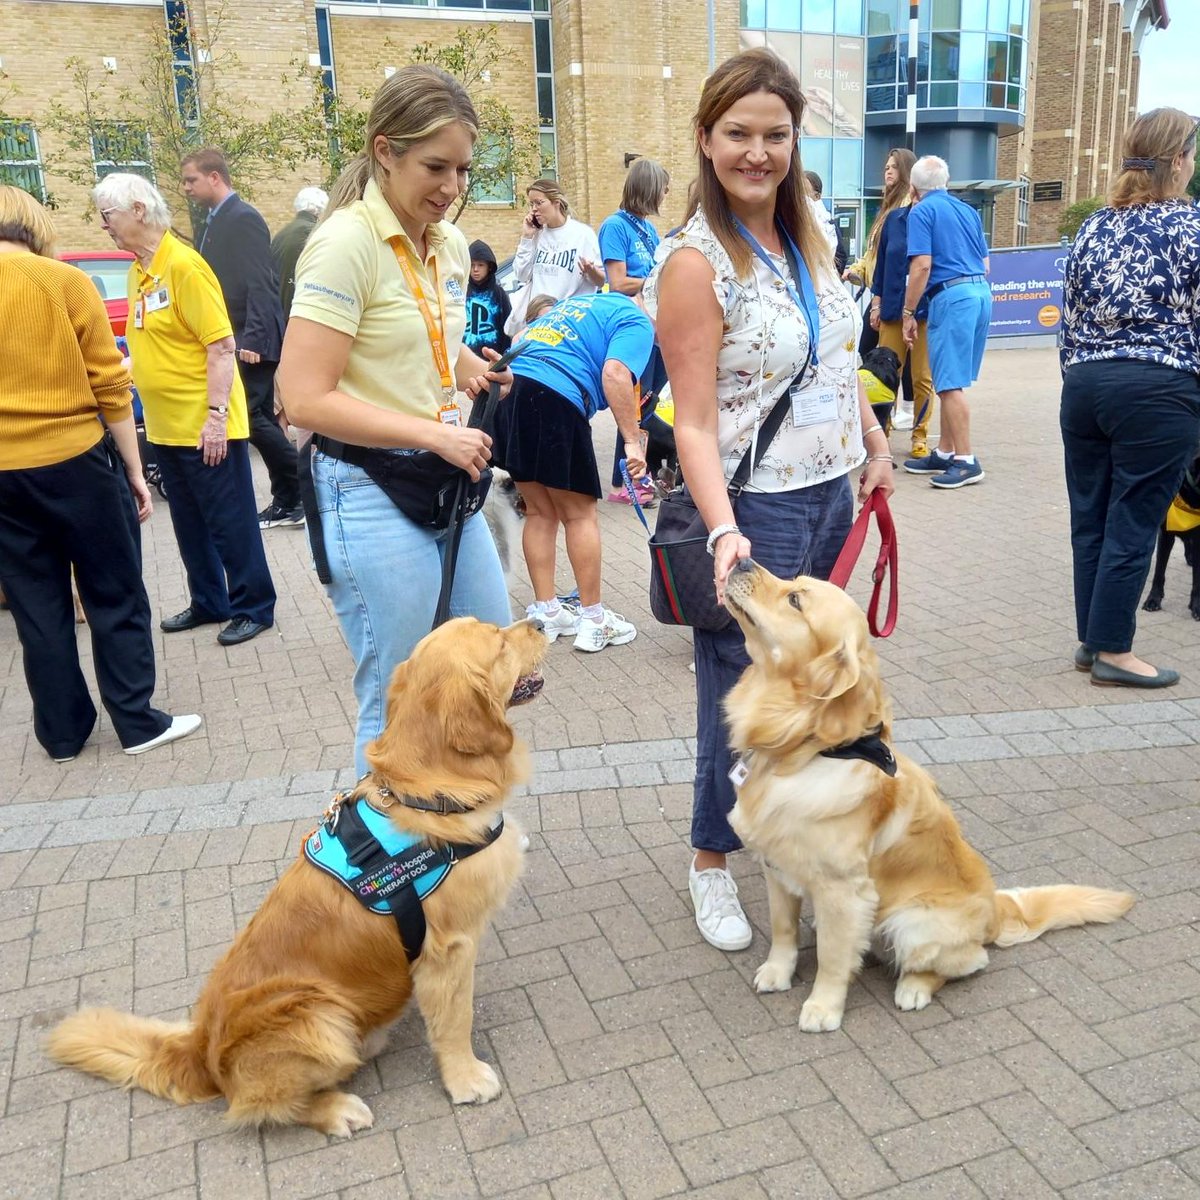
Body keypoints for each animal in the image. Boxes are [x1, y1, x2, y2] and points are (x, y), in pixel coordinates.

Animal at [45, 619, 544, 1132]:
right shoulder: (448, 949)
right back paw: (338, 1109)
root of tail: (200, 1051)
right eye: (500, 642)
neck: (427, 793)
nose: (539, 622)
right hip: (317, 1013)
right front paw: (465, 1079)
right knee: (259, 1105)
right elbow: (455, 1020)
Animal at [720, 561, 1132, 1032]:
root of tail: (996, 910)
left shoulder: (844, 891)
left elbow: (832, 958)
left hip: (913, 923)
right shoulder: (777, 867)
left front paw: (823, 1007)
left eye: (795, 600)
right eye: (792, 584)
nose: (742, 560)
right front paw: (777, 971)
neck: (803, 751)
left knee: (968, 961)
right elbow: (783, 929)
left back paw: (914, 988)